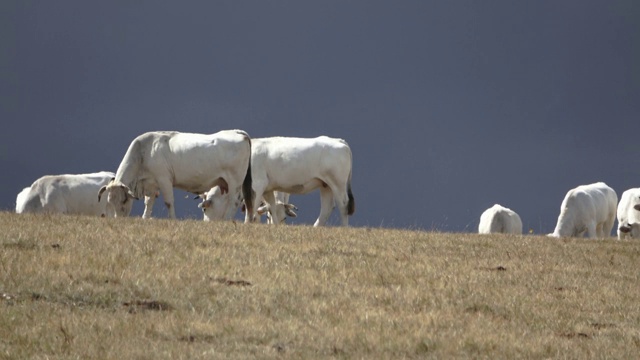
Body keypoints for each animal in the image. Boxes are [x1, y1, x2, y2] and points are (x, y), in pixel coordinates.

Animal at [97, 129, 252, 219]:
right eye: (110, 201)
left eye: (124, 200)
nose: (119, 219)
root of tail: (237, 132)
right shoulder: (151, 184)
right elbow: (149, 203)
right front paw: (145, 218)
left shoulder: (164, 179)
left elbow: (168, 202)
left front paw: (172, 219)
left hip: (235, 181)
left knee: (234, 201)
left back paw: (226, 220)